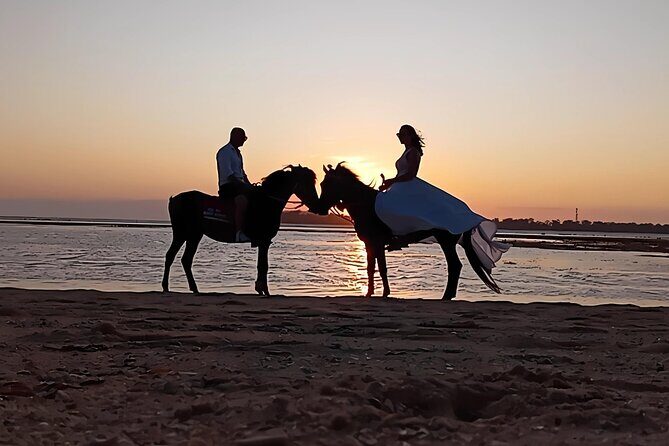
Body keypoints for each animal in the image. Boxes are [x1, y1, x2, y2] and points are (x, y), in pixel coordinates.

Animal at [162, 165, 320, 296]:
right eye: (306, 182)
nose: (316, 204)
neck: (266, 202)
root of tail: (174, 199)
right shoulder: (264, 241)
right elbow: (263, 266)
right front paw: (264, 290)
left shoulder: (264, 242)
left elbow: (261, 265)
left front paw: (261, 289)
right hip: (183, 234)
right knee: (174, 256)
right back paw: (168, 287)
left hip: (193, 235)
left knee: (183, 259)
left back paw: (190, 288)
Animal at [315, 163, 502, 299]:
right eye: (322, 184)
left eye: (328, 184)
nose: (321, 208)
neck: (366, 205)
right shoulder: (369, 244)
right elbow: (370, 268)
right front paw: (370, 293)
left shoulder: (377, 242)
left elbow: (382, 268)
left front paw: (385, 293)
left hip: (446, 241)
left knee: (455, 265)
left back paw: (446, 296)